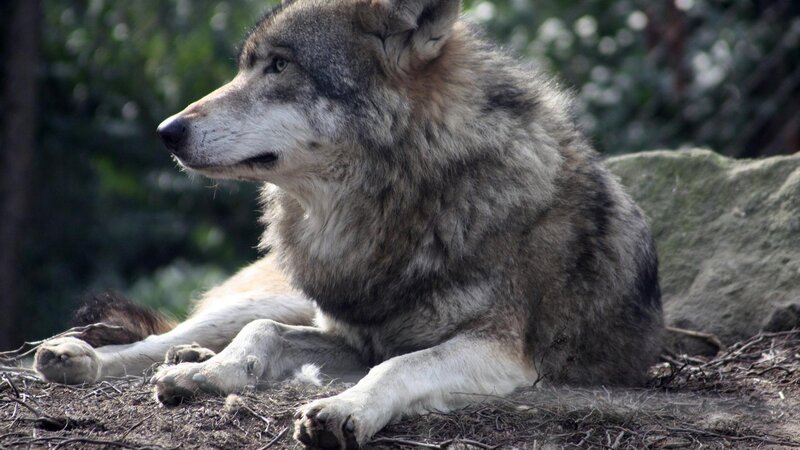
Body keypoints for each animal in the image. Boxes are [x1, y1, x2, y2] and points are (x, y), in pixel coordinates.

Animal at [33, 0, 663, 447]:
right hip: (272, 297)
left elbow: (400, 366)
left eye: (280, 65)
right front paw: (213, 376)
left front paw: (344, 408)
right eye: (246, 67)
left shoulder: (497, 349)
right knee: (174, 335)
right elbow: (261, 336)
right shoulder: (352, 336)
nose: (166, 131)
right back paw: (83, 359)